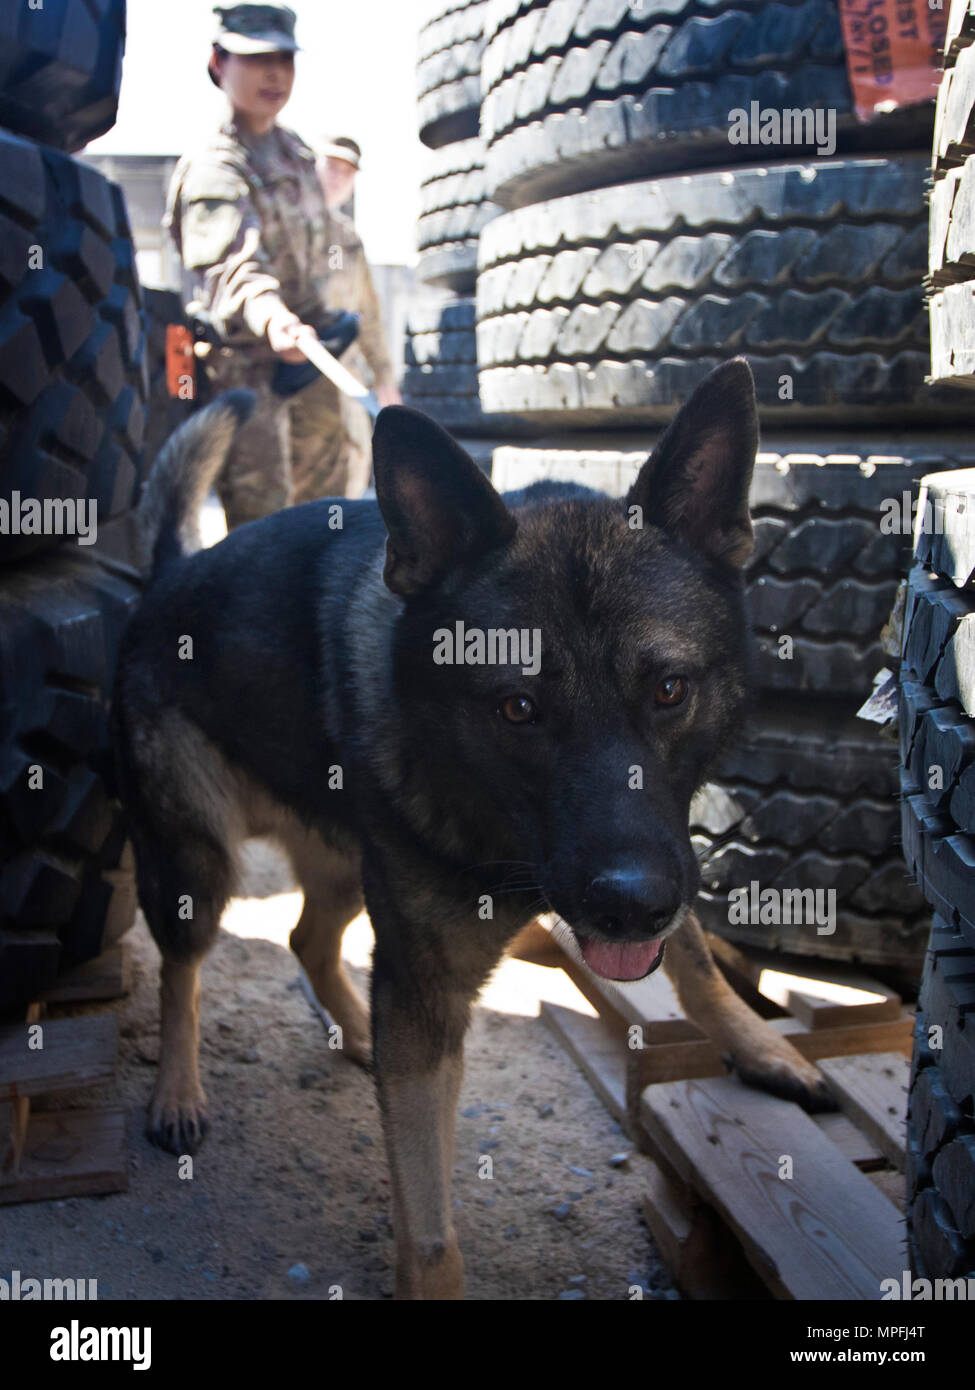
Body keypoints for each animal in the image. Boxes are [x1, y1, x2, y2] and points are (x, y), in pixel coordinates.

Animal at [111, 361, 828, 1301]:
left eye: (669, 691)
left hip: (348, 869)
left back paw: (359, 1035)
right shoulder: (433, 985)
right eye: (516, 708)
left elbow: (698, 961)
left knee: (309, 941)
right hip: (200, 865)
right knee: (184, 971)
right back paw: (177, 1091)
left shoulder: (654, 856)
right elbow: (428, 1231)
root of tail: (169, 575)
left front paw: (760, 1048)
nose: (627, 908)